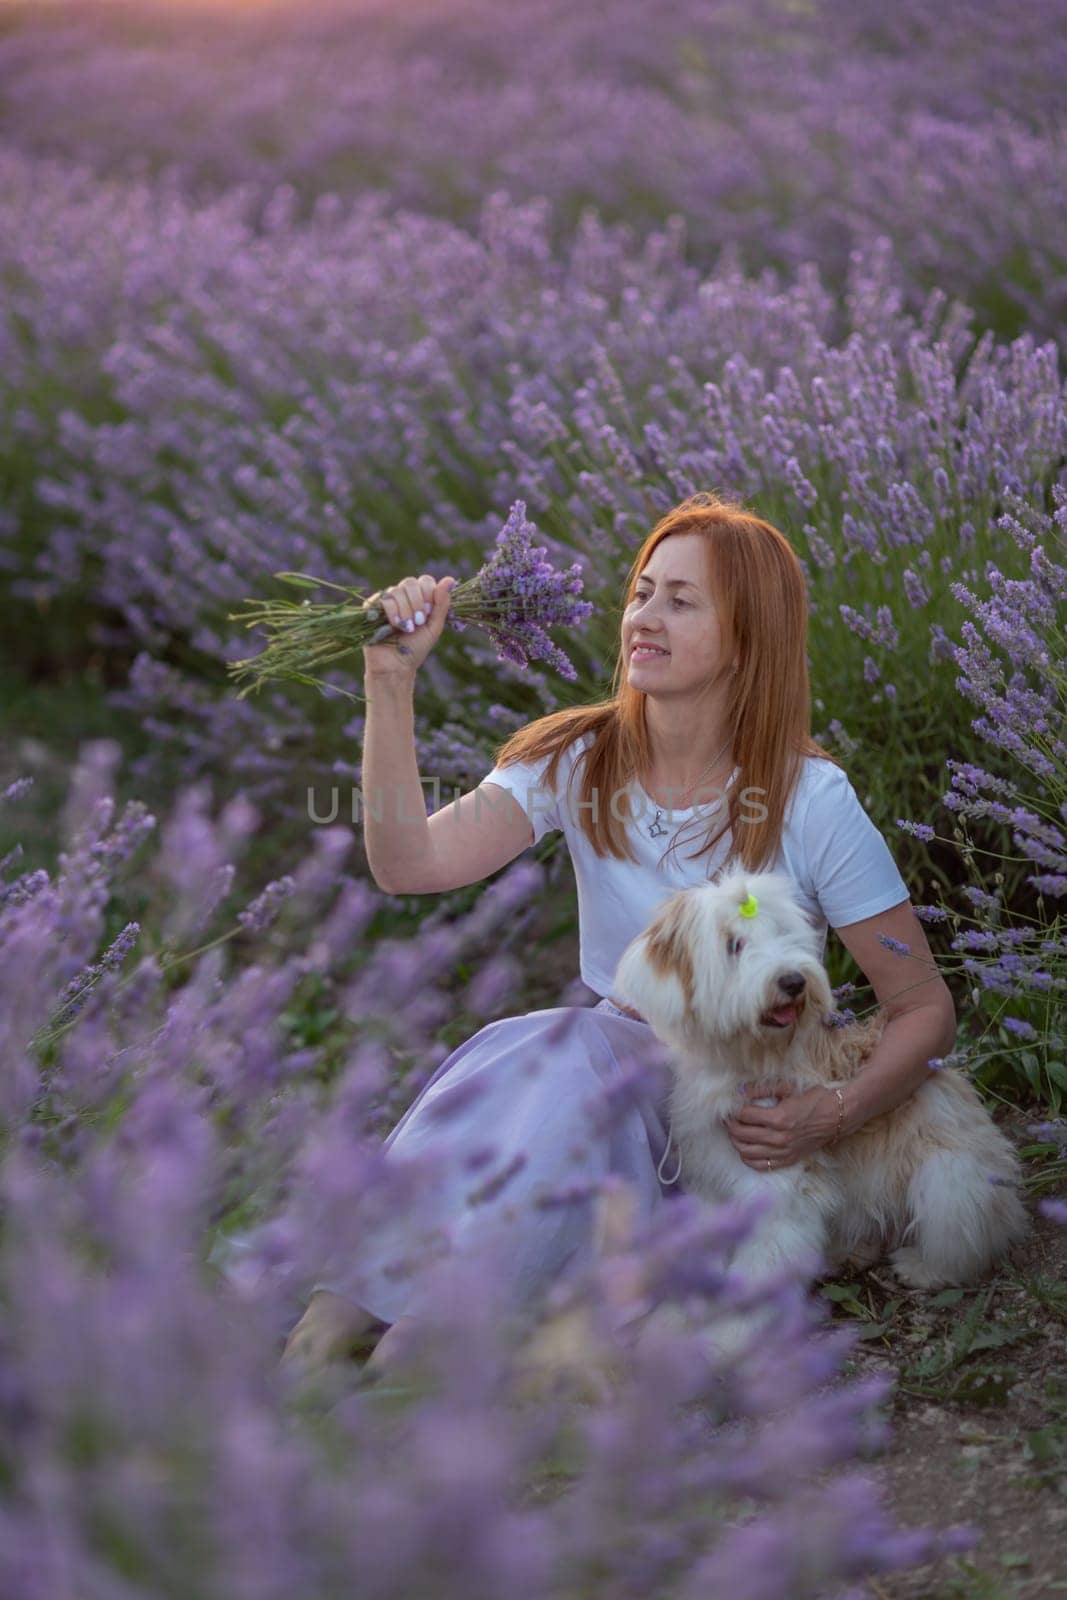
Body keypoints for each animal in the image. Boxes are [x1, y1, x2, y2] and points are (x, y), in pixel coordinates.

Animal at [614, 864, 1030, 1299]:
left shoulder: (777, 1178)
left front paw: (739, 1316)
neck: (748, 1057)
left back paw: (923, 1269)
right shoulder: (711, 1173)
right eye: (734, 945)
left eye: (781, 932)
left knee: (963, 1238)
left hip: (947, 1177)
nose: (794, 981)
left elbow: (763, 1261)